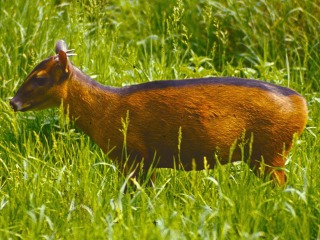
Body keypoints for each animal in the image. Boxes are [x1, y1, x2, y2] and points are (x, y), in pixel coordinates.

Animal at [10, 40, 308, 185]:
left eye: (39, 78)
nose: (13, 102)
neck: (103, 111)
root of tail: (302, 105)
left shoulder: (135, 155)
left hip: (271, 151)